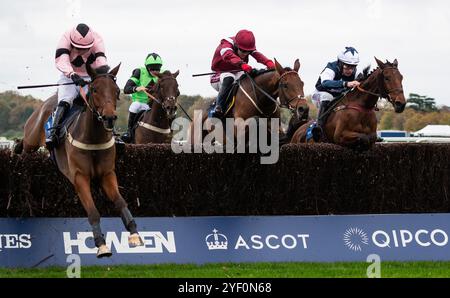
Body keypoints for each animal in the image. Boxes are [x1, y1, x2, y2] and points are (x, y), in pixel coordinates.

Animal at [14, 64, 144, 258]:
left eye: (116, 90)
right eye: (95, 89)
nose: (109, 118)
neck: (93, 138)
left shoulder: (107, 174)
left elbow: (121, 202)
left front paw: (134, 234)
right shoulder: (79, 177)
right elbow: (93, 211)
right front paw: (101, 245)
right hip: (32, 141)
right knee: (25, 146)